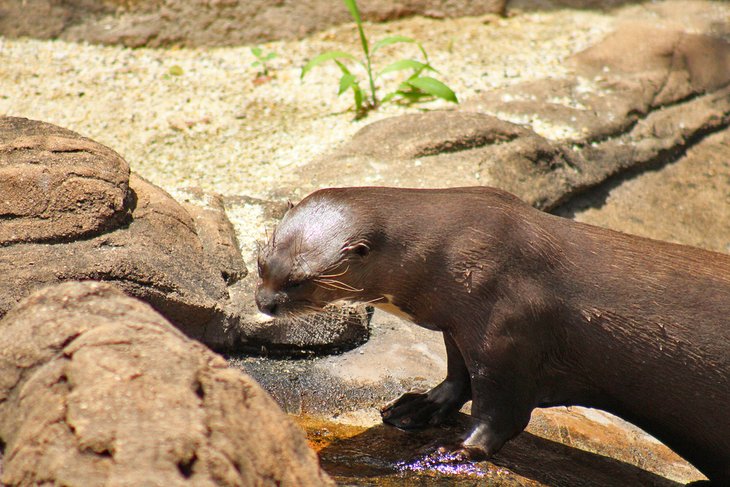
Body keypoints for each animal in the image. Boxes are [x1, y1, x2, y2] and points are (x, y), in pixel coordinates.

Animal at [255, 187, 728, 484]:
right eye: (262, 264)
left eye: (299, 281)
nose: (264, 302)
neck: (458, 252)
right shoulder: (459, 325)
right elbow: (456, 377)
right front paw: (418, 407)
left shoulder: (507, 333)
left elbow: (502, 412)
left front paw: (455, 452)